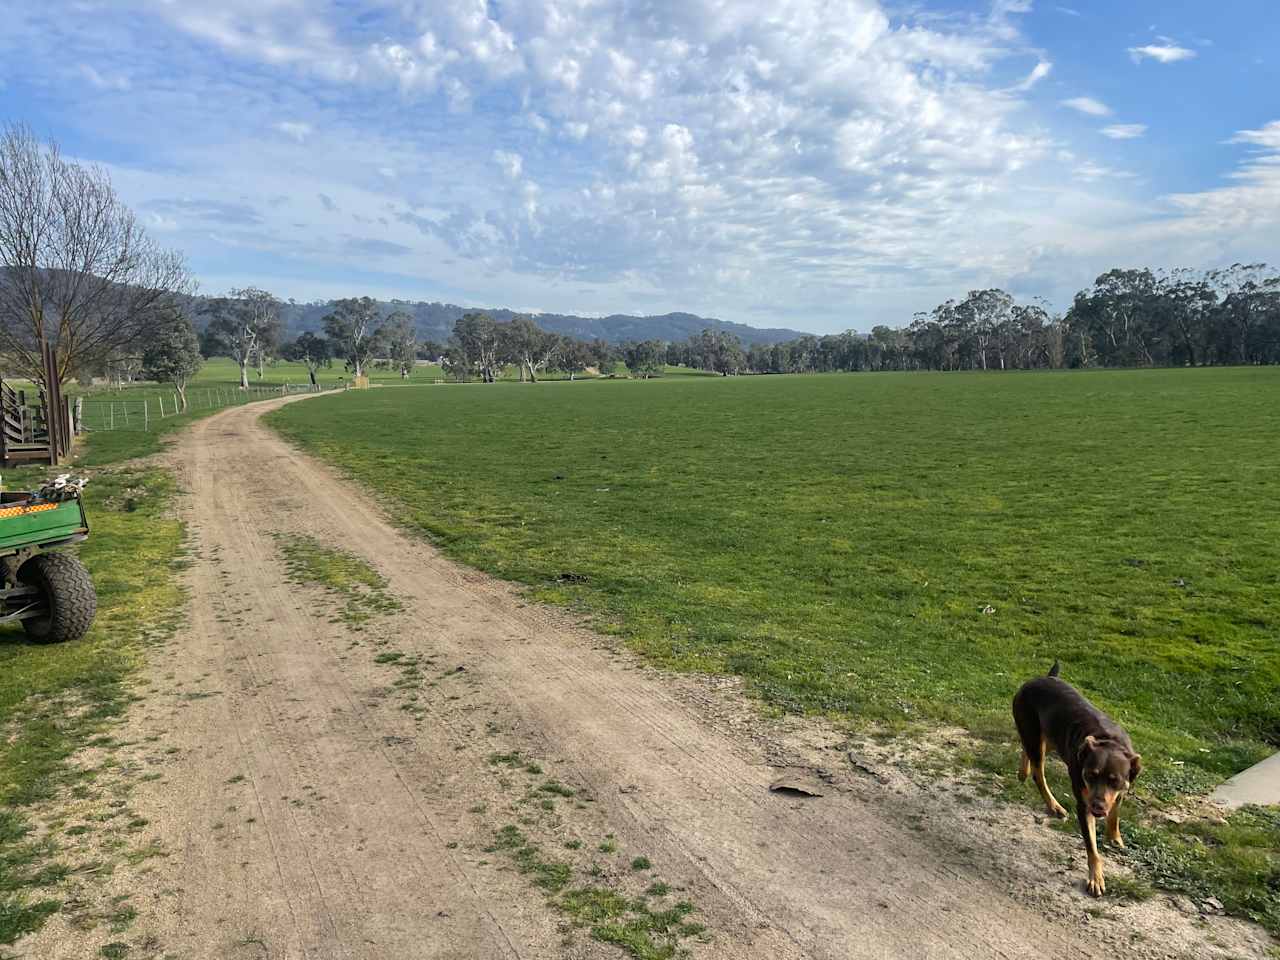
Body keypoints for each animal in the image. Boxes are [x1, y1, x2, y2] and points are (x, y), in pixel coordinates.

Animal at [1013, 665, 1146, 901]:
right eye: (1090, 775)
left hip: (1048, 738)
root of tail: (1039, 679)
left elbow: (1114, 815)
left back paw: (1023, 771)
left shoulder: (1120, 792)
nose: (1097, 806)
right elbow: (1092, 849)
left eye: (1115, 781)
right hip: (1034, 732)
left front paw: (1115, 838)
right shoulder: (1083, 806)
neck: (1108, 741)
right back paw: (1054, 805)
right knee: (1038, 772)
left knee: (1028, 749)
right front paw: (1096, 878)